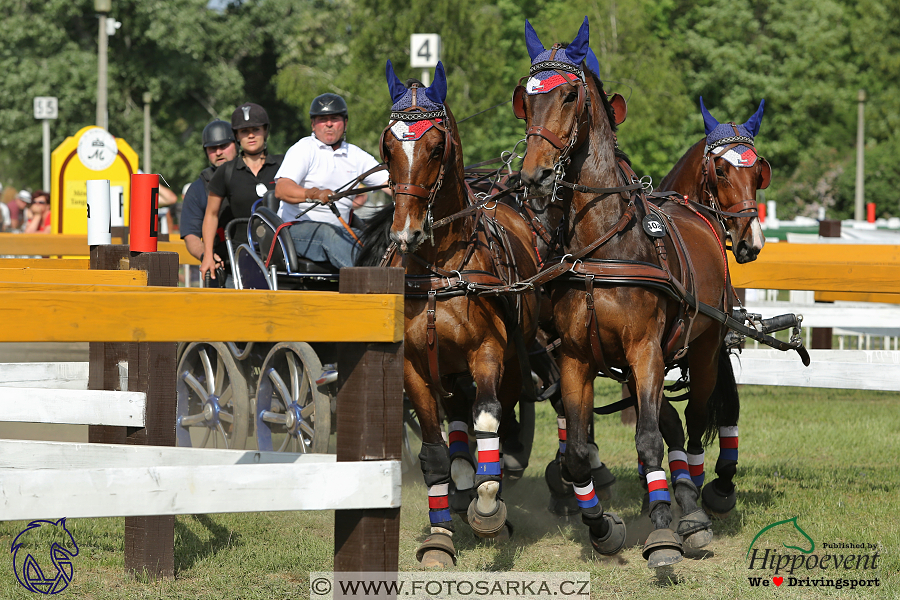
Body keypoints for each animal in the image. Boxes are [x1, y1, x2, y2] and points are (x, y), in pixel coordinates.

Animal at [376, 58, 536, 564]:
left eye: (434, 146)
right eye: (388, 146)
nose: (404, 232)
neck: (438, 269)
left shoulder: (487, 352)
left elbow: (488, 421)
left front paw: (487, 511)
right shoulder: (413, 367)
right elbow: (433, 452)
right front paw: (439, 535)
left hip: (507, 366)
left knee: (495, 419)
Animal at [512, 18, 740, 568]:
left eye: (569, 95)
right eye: (525, 99)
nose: (533, 176)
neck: (603, 245)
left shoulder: (645, 352)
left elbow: (650, 439)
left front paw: (662, 531)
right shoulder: (574, 358)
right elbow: (576, 452)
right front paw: (601, 527)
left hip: (703, 348)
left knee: (693, 421)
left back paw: (692, 511)